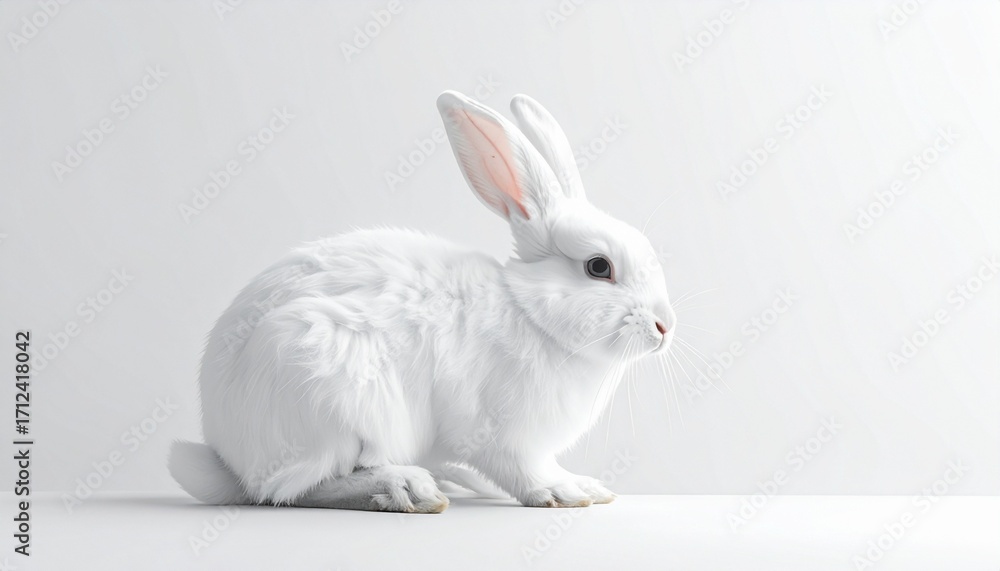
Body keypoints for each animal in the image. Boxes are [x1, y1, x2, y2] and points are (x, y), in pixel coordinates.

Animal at [168, 91, 676, 513]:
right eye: (599, 267)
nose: (665, 327)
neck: (532, 314)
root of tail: (232, 459)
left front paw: (587, 486)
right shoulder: (500, 434)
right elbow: (524, 471)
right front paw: (563, 492)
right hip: (326, 396)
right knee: (294, 488)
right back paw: (405, 489)